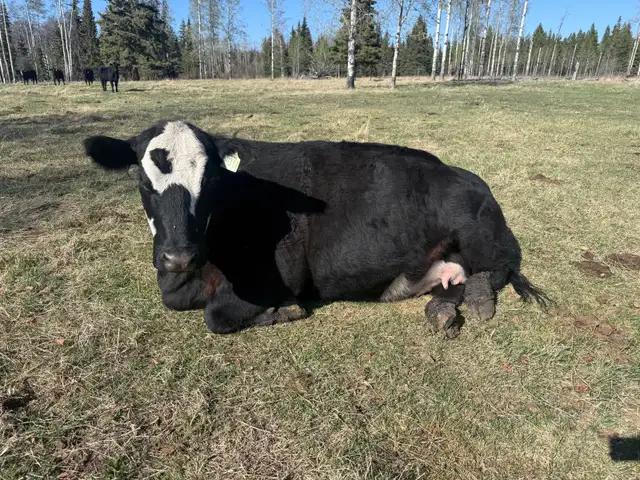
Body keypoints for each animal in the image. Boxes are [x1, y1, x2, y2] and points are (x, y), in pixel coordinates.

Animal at [82, 121, 550, 338]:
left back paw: (477, 299)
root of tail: (468, 175)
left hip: (478, 231)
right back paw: (442, 310)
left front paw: (284, 311)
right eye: (144, 183)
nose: (178, 255)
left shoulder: (281, 275)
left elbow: (216, 316)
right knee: (452, 279)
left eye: (211, 181)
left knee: (499, 268)